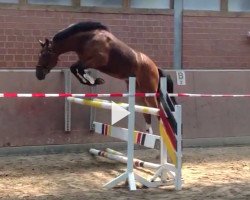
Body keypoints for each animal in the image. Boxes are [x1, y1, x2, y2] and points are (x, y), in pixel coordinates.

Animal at [35, 21, 176, 134]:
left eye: (44, 54)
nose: (38, 74)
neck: (86, 39)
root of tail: (155, 67)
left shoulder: (97, 60)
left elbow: (78, 68)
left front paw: (94, 80)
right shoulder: (84, 60)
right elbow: (74, 68)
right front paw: (93, 81)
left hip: (150, 91)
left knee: (158, 111)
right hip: (139, 93)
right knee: (147, 112)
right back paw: (149, 135)